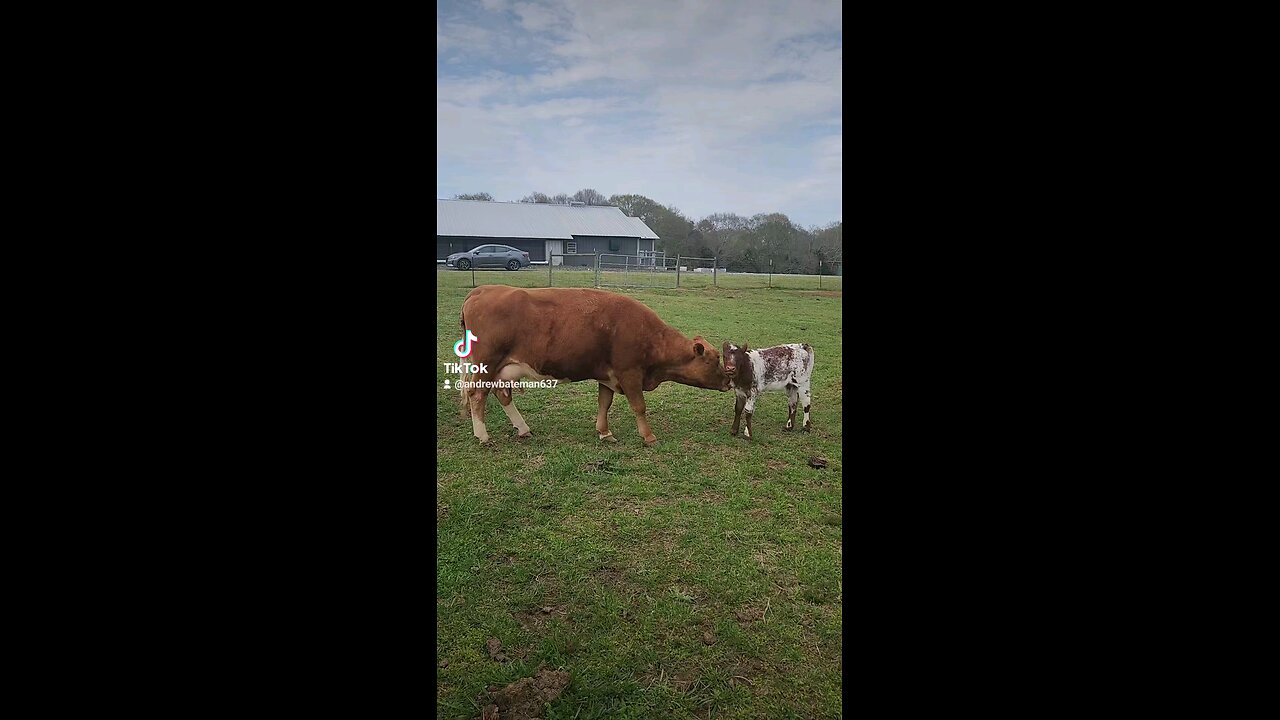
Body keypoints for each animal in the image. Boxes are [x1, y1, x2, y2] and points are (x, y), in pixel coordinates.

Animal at [458, 284, 732, 443]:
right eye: (714, 359)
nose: (729, 381)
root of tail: (482, 289)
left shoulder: (607, 376)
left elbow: (604, 403)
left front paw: (604, 432)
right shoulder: (629, 372)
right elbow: (639, 406)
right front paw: (648, 436)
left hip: (503, 368)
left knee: (502, 394)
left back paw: (523, 428)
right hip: (486, 363)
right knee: (476, 394)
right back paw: (483, 435)